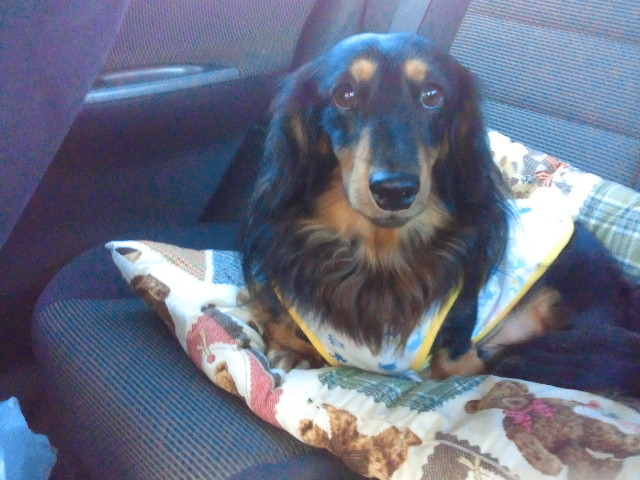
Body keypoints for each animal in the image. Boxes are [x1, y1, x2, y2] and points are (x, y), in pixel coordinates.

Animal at [241, 33, 640, 398]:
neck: (379, 255)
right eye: (345, 95)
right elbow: (275, 314)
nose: (395, 190)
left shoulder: (461, 348)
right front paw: (291, 347)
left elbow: (455, 364)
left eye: (432, 96)